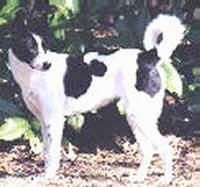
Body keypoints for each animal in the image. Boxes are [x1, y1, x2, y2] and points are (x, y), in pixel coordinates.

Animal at [8, 13, 186, 183]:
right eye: (31, 48)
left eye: (44, 47)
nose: (47, 65)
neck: (31, 75)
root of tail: (147, 56)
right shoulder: (44, 121)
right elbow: (46, 152)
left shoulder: (54, 120)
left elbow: (52, 153)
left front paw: (48, 176)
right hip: (135, 118)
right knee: (148, 150)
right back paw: (139, 177)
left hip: (141, 117)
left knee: (165, 147)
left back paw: (166, 179)